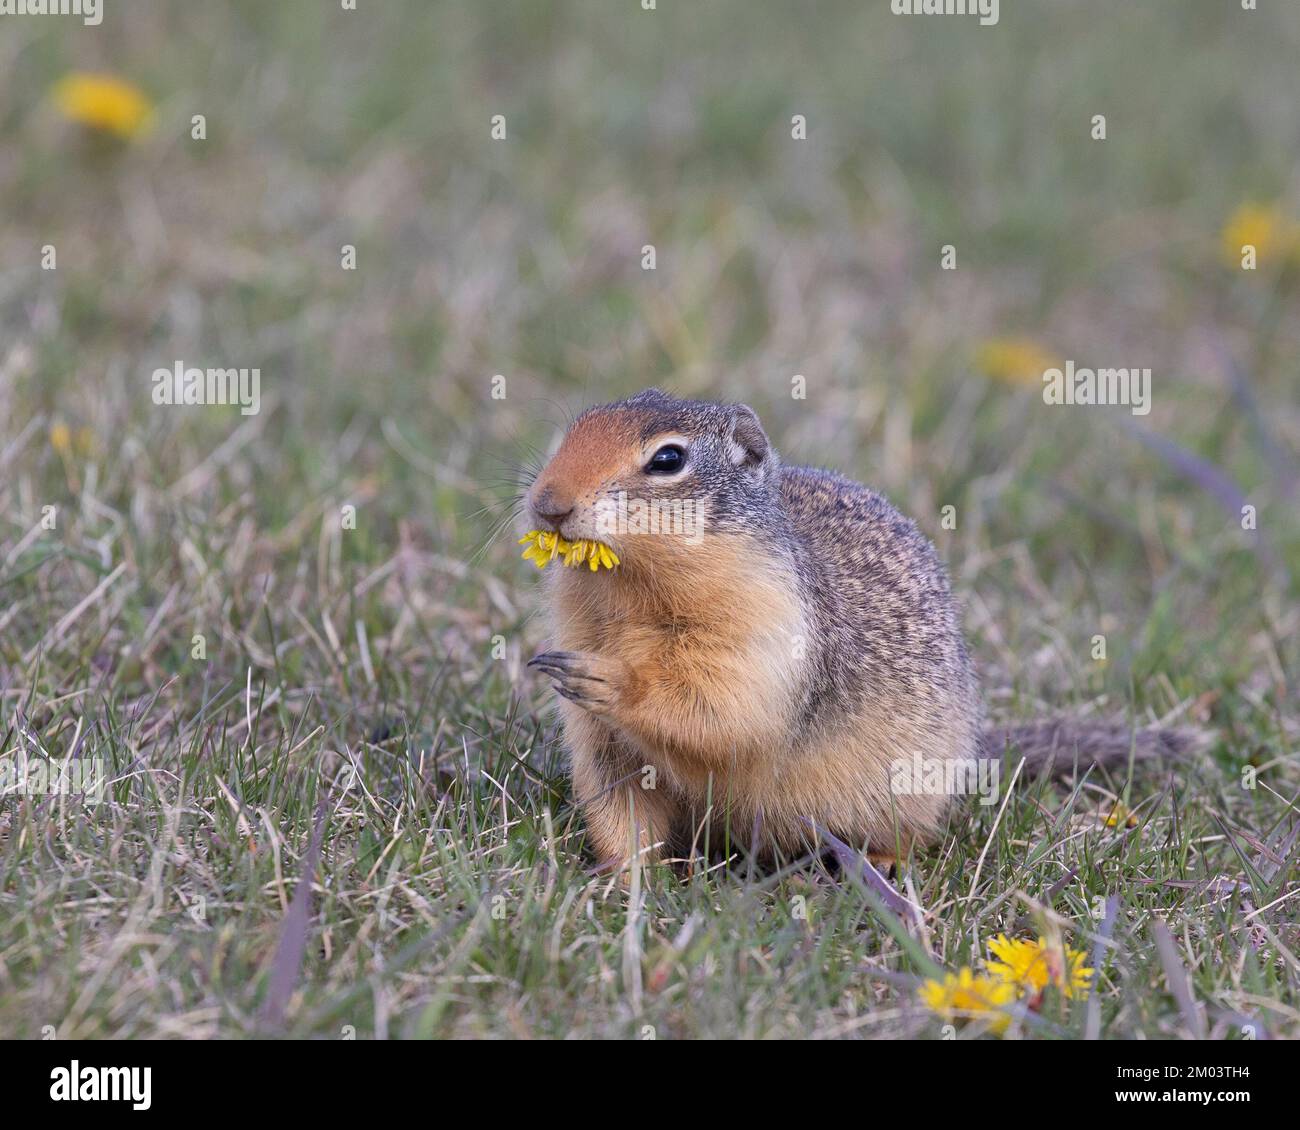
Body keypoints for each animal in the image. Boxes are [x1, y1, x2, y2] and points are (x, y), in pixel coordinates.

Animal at [523, 389, 1197, 873]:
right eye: (574, 428)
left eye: (668, 459)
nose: (547, 503)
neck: (629, 595)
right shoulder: (601, 743)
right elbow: (622, 807)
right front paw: (619, 880)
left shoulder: (763, 628)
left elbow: (722, 708)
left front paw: (606, 677)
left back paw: (873, 864)